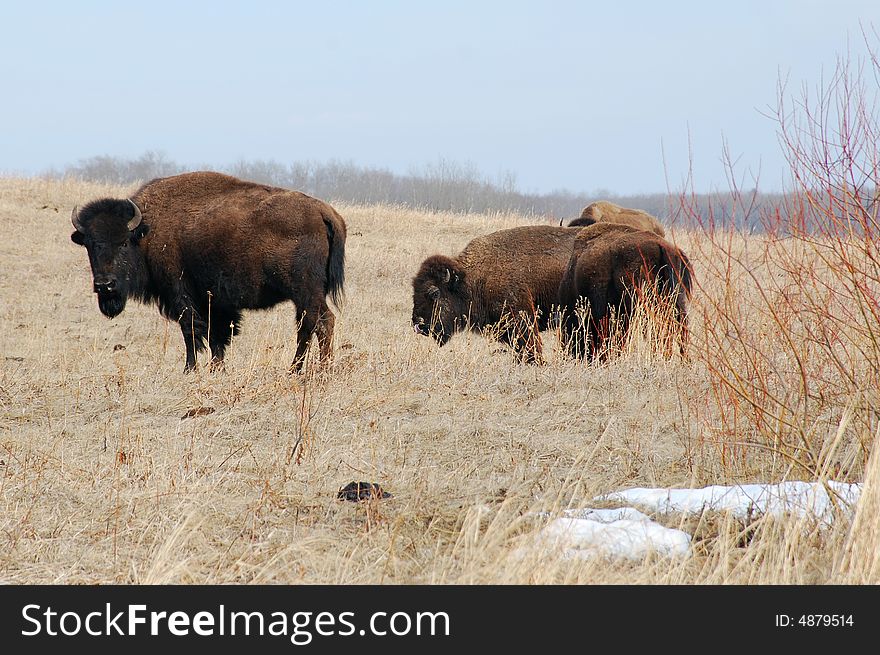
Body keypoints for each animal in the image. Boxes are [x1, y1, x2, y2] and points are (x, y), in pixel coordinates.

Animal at [70, 170, 346, 374]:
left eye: (124, 243)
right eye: (90, 244)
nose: (105, 285)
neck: (147, 231)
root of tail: (324, 212)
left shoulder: (180, 293)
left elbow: (191, 329)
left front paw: (190, 369)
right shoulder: (214, 300)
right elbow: (217, 335)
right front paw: (217, 368)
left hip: (305, 291)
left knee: (321, 321)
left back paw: (317, 369)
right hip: (305, 294)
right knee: (308, 324)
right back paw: (299, 369)